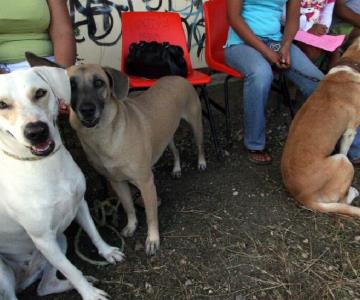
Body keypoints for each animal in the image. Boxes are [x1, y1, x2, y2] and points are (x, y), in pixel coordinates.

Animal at [0, 67, 124, 298]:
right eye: (2, 104)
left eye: (40, 92)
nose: (36, 131)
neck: (47, 165)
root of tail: (23, 280)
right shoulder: (44, 240)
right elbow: (72, 270)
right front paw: (91, 295)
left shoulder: (80, 204)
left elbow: (94, 232)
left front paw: (107, 252)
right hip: (6, 271)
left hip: (61, 239)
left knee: (45, 286)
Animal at [64, 65, 205, 255]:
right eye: (71, 85)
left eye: (99, 82)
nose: (87, 110)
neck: (105, 137)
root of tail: (177, 76)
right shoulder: (117, 182)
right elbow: (128, 207)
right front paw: (131, 226)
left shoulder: (146, 183)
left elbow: (151, 215)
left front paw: (152, 240)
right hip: (166, 137)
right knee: (176, 151)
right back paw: (176, 169)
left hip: (196, 124)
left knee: (200, 146)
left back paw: (201, 162)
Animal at [282, 38, 360, 216]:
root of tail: (304, 196)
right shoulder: (350, 131)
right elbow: (345, 147)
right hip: (343, 162)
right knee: (342, 200)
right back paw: (353, 192)